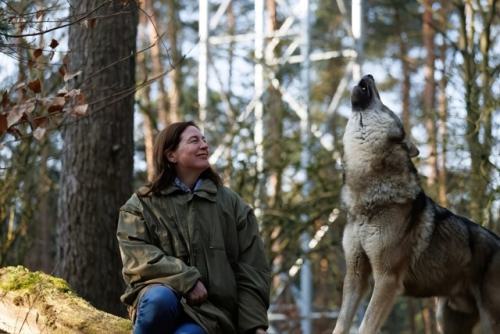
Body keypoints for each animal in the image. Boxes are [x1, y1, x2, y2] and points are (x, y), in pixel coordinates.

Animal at [332, 75, 500, 334]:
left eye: (386, 108)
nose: (369, 75)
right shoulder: (354, 277)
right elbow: (340, 325)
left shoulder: (387, 279)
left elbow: (365, 326)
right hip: (447, 320)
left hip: (489, 320)